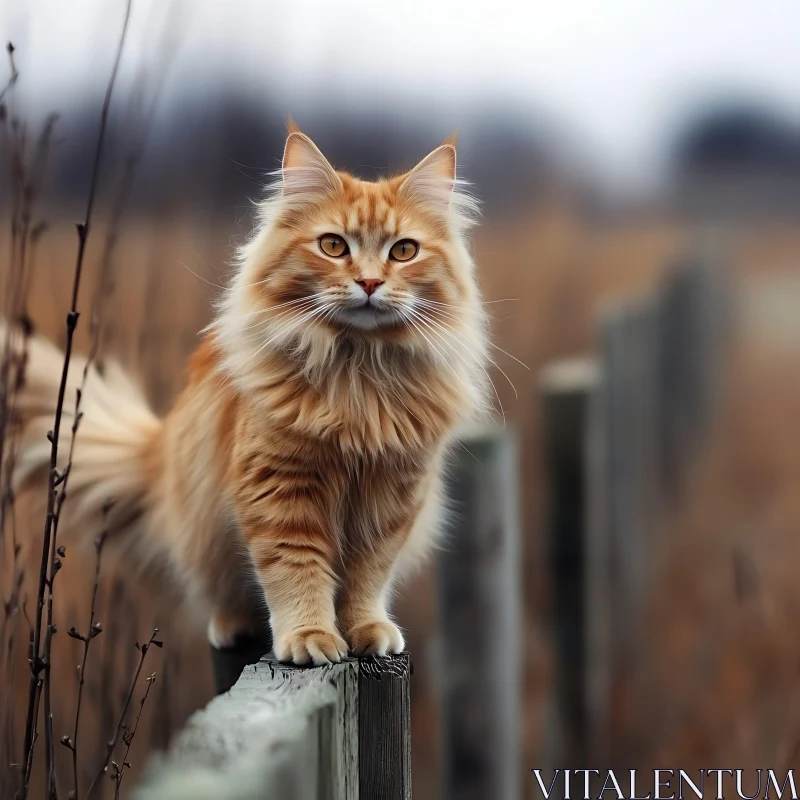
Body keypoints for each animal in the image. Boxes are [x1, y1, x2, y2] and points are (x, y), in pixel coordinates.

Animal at [10, 126, 488, 664]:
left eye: (403, 251)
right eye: (333, 246)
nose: (368, 281)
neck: (357, 376)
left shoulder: (393, 500)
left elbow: (368, 577)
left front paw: (365, 629)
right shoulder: (280, 488)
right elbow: (296, 571)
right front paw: (310, 637)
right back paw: (232, 626)